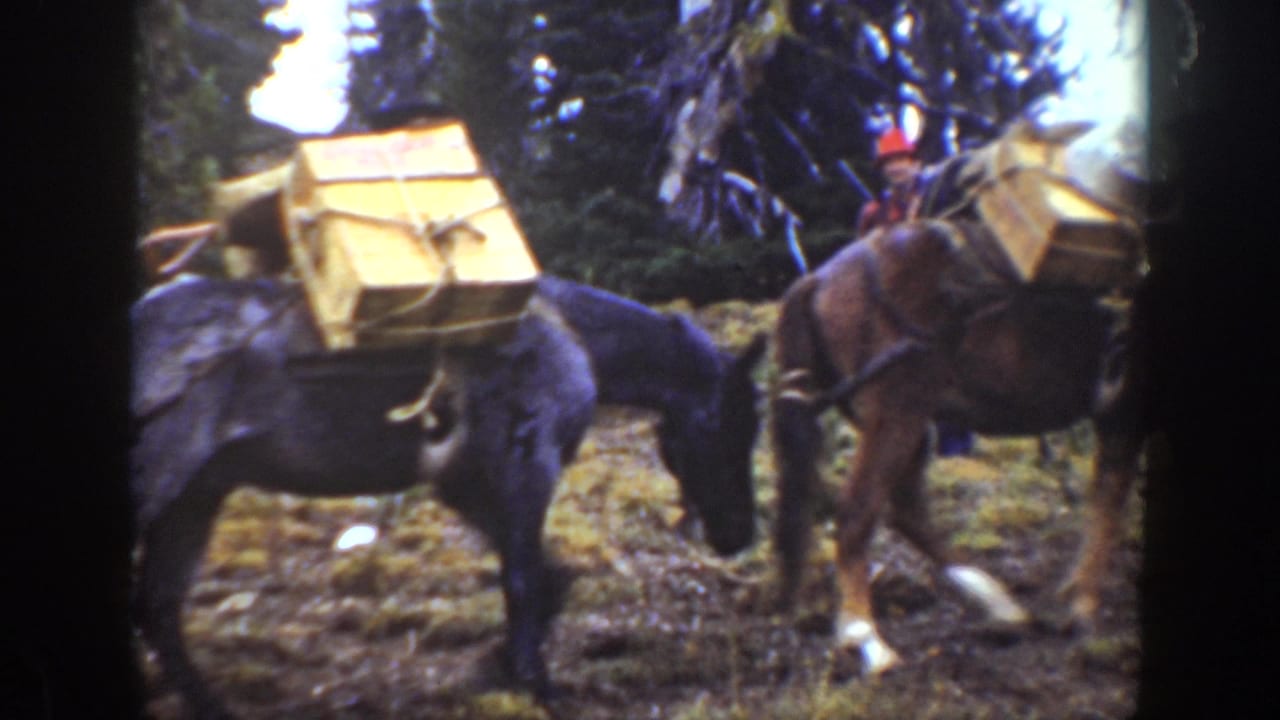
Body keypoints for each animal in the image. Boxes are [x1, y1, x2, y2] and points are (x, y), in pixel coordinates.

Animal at [131, 274, 764, 718]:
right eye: (730, 424)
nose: (739, 534)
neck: (571, 336)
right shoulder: (524, 470)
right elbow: (526, 579)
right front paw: (537, 684)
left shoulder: (467, 485)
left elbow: (548, 579)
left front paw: (500, 667)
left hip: (195, 497)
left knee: (160, 607)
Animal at [768, 156, 1147, 674]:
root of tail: (818, 279)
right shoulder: (1126, 410)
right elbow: (1110, 501)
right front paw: (1084, 607)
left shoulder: (1118, 416)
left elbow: (1105, 498)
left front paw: (1075, 596)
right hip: (896, 417)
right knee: (858, 512)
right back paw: (866, 636)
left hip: (909, 423)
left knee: (905, 509)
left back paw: (996, 603)